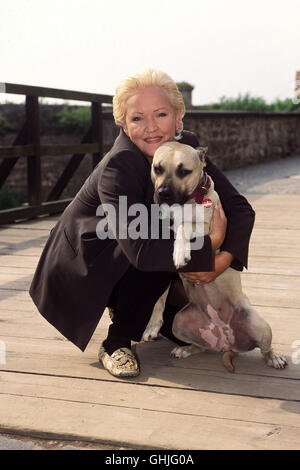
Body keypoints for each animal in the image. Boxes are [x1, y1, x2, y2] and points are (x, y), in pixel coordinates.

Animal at [142, 141, 288, 372]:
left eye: (184, 171)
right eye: (157, 168)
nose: (163, 193)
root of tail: (225, 341)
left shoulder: (205, 228)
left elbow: (184, 225)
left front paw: (180, 251)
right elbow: (159, 296)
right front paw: (152, 326)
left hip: (259, 324)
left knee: (265, 348)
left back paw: (275, 358)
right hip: (179, 322)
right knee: (200, 345)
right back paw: (185, 349)